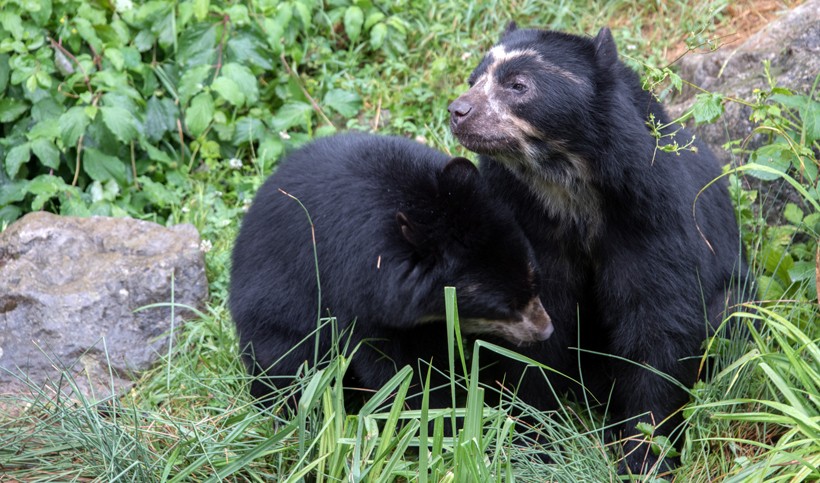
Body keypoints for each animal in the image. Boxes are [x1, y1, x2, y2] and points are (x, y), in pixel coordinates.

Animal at [227, 133, 556, 412]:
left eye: (535, 282)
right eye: (505, 307)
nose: (545, 330)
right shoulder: (357, 292)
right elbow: (391, 364)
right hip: (276, 320)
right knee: (286, 367)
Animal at [448, 25, 748, 472]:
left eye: (518, 86)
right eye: (473, 79)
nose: (458, 111)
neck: (568, 188)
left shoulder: (653, 220)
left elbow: (658, 326)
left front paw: (643, 456)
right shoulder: (528, 223)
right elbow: (536, 324)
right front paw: (535, 441)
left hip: (734, 302)